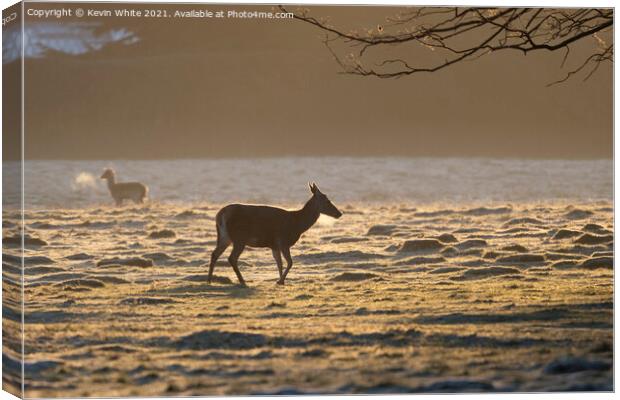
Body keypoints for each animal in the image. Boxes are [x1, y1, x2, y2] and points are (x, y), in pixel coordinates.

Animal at [208, 183, 344, 286]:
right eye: (327, 200)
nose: (339, 213)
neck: (297, 224)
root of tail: (221, 215)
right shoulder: (283, 241)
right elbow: (290, 262)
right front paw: (280, 280)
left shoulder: (274, 245)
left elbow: (279, 263)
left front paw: (280, 281)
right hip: (239, 237)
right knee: (231, 258)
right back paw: (242, 281)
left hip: (225, 237)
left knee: (215, 254)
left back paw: (209, 280)